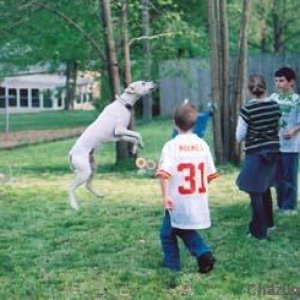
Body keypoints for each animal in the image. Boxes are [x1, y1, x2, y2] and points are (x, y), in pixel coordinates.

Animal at [68, 81, 157, 210]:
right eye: (143, 83)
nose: (154, 82)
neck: (124, 104)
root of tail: (71, 153)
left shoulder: (120, 135)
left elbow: (133, 138)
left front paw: (136, 148)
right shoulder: (120, 130)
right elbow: (137, 134)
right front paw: (140, 143)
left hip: (92, 168)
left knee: (88, 185)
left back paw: (99, 195)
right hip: (84, 172)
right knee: (71, 187)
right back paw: (74, 206)